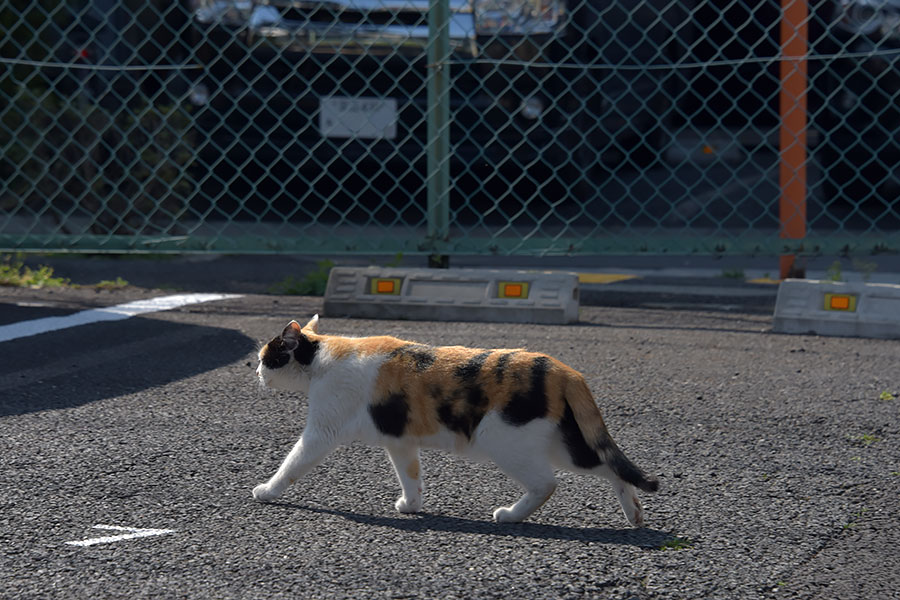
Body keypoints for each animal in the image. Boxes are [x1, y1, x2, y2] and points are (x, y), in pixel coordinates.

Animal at [253, 314, 660, 524]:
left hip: (505, 440)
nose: (254, 371)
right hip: (563, 441)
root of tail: (562, 369)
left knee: (547, 483)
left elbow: (293, 464)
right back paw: (634, 513)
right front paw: (411, 506)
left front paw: (268, 491)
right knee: (610, 468)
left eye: (265, 357)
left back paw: (511, 515)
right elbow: (410, 475)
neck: (323, 357)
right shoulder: (400, 440)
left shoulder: (322, 431)